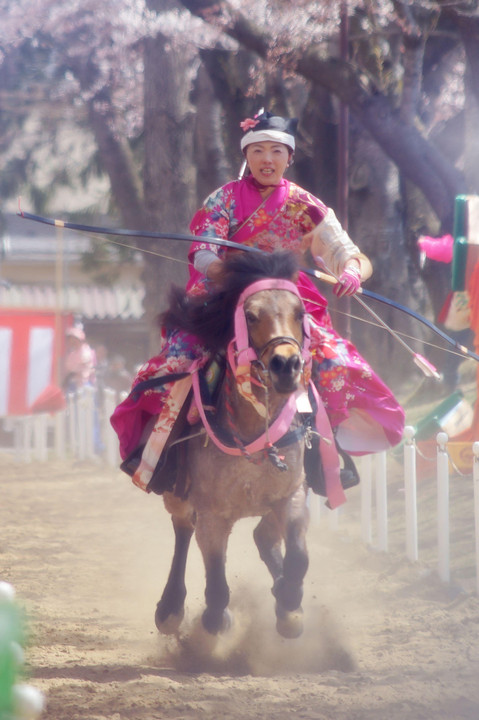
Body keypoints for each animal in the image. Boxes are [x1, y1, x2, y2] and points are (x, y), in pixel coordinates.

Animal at [154, 250, 338, 640]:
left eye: (300, 313)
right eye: (250, 316)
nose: (286, 364)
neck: (256, 437)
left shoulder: (291, 495)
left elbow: (299, 559)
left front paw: (289, 605)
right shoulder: (212, 515)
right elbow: (216, 585)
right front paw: (217, 618)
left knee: (263, 536)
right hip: (177, 493)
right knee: (182, 530)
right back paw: (170, 608)